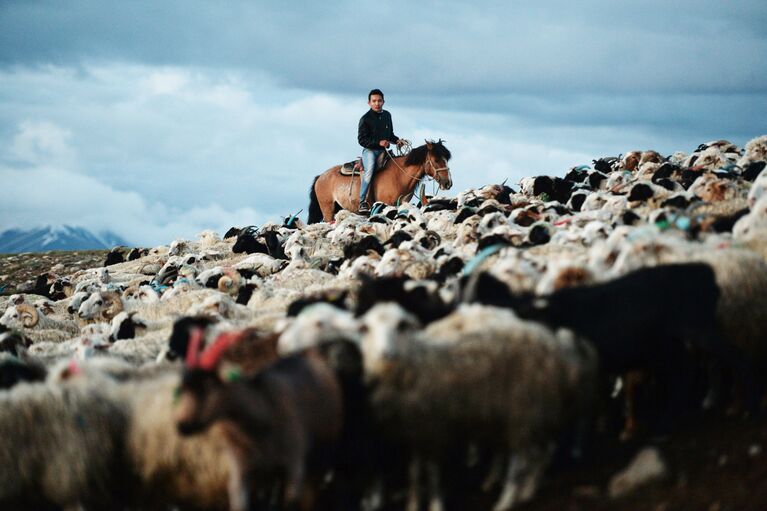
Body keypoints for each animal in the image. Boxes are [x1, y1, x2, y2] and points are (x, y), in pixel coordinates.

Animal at [306, 140, 450, 222]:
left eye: (447, 159)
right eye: (436, 160)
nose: (448, 183)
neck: (399, 176)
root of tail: (320, 177)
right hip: (327, 208)